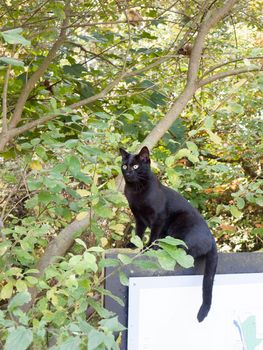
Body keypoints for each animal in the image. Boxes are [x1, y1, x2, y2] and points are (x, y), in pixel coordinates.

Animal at [120, 146, 219, 322]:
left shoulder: (159, 217)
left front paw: (148, 248)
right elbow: (138, 233)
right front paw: (133, 244)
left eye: (136, 166)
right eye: (125, 166)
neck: (136, 191)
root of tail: (212, 239)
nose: (129, 172)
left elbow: (153, 235)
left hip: (180, 223)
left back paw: (163, 248)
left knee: (186, 251)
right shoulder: (138, 217)